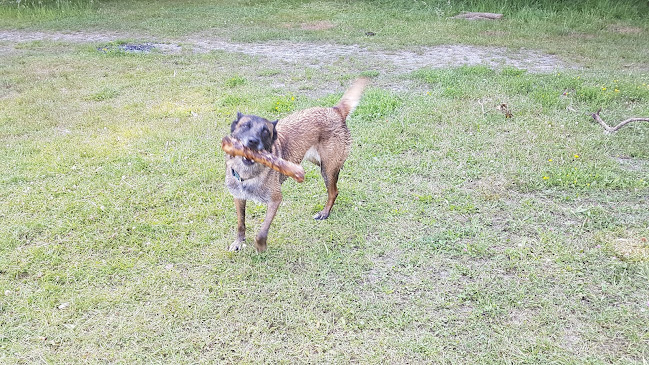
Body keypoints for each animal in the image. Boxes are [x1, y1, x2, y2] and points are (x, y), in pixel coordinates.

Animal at [223, 78, 368, 252]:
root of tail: (335, 110)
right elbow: (241, 223)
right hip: (318, 162)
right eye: (245, 126)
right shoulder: (238, 198)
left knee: (334, 191)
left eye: (265, 132)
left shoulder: (275, 201)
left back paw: (324, 213)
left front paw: (260, 246)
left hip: (327, 169)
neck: (248, 175)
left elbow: (262, 231)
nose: (253, 141)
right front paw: (239, 242)